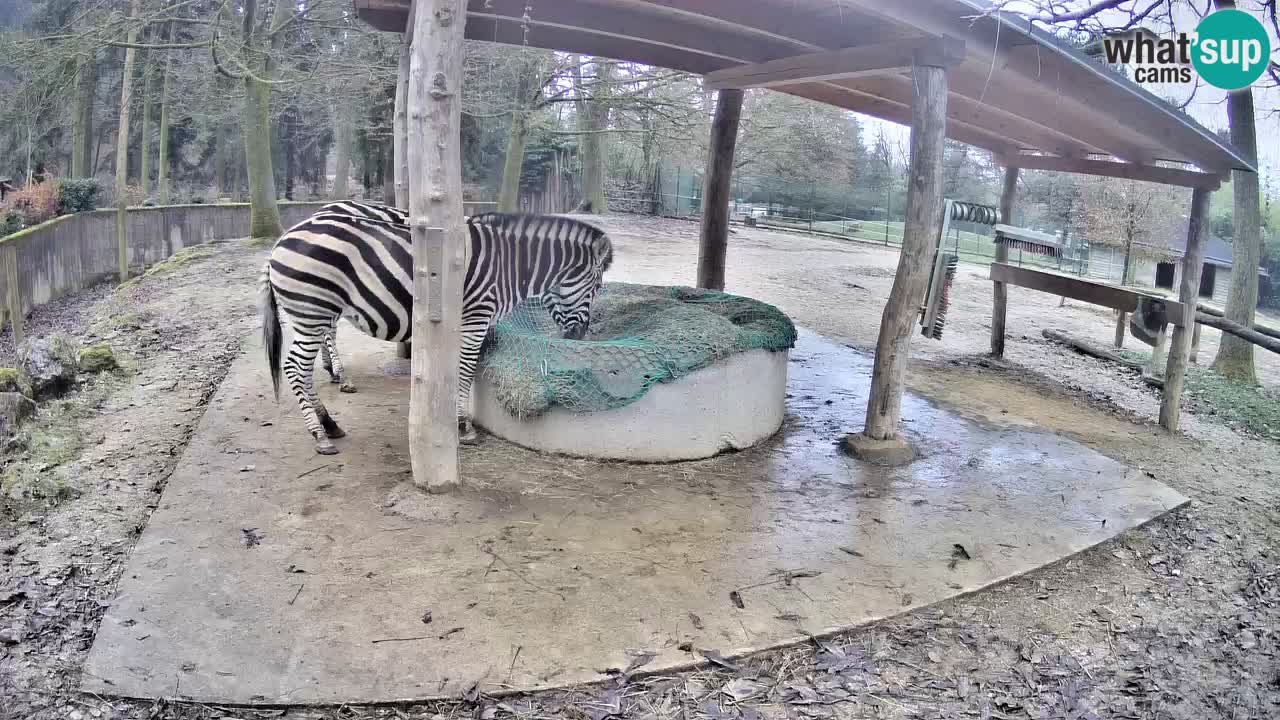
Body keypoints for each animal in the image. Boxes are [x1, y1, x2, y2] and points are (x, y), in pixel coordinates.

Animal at [259, 211, 614, 455]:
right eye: (596, 287)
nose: (579, 336)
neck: (508, 266)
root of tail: (281, 240)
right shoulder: (476, 317)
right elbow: (467, 370)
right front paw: (464, 426)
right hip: (312, 311)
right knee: (294, 368)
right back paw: (319, 435)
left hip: (315, 315)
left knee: (303, 370)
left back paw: (329, 425)